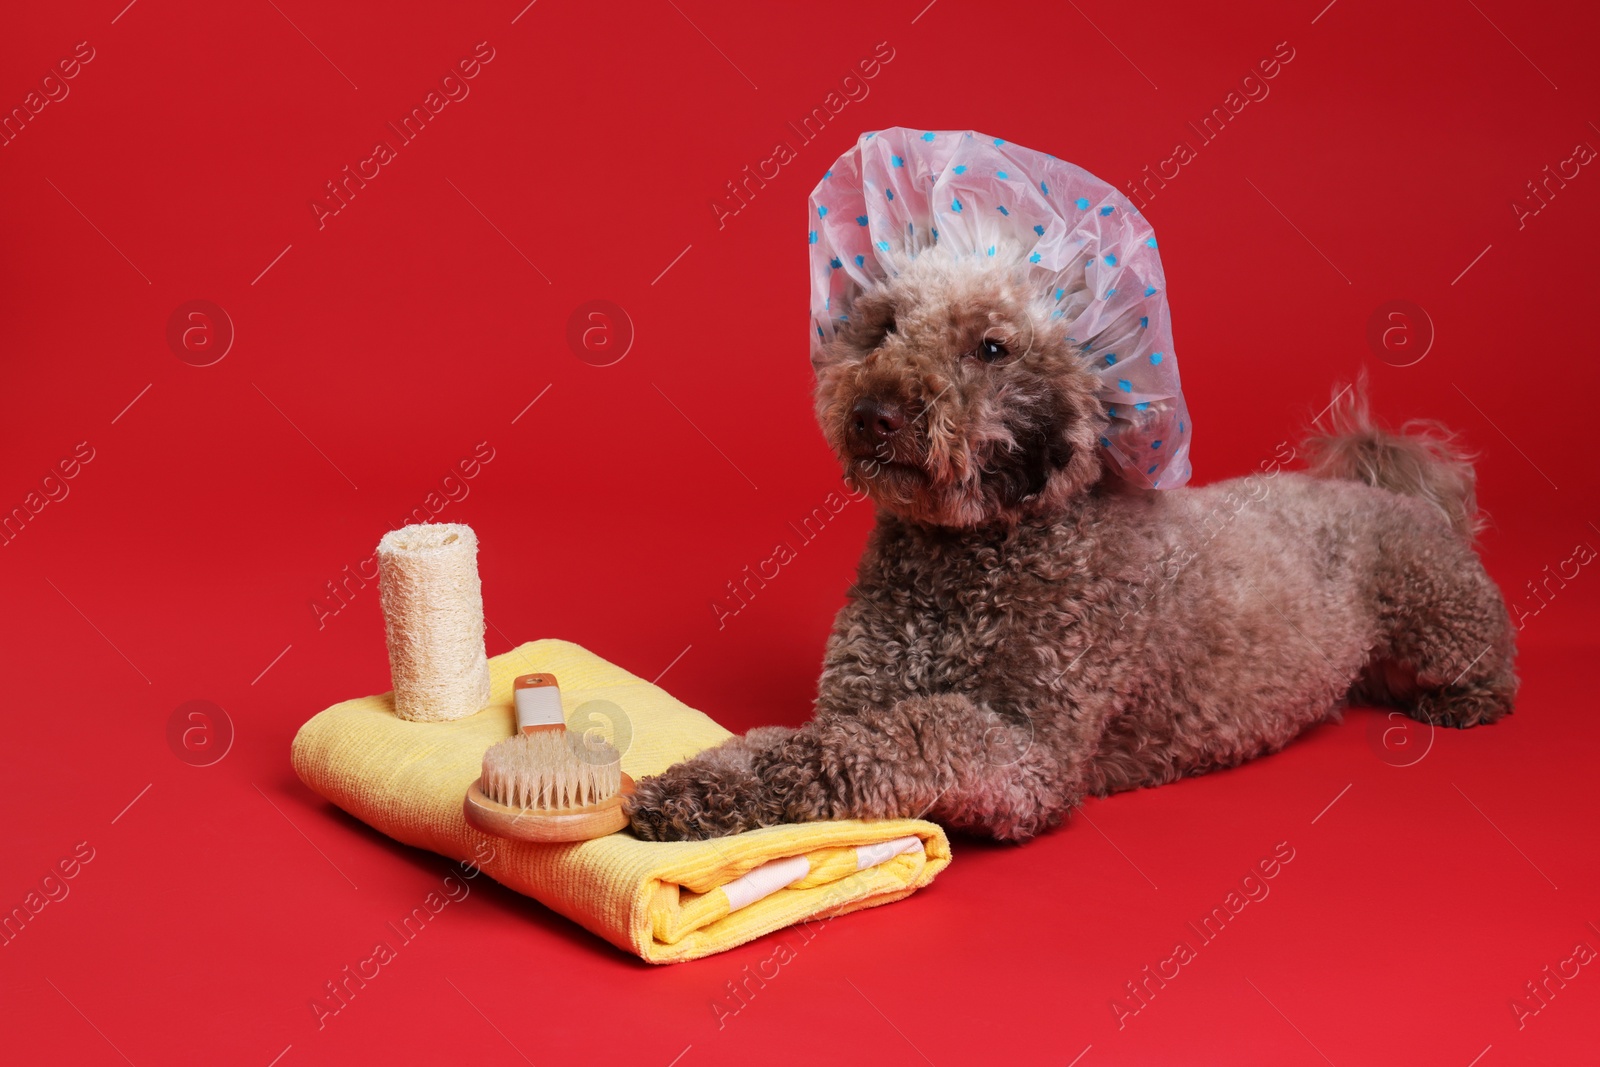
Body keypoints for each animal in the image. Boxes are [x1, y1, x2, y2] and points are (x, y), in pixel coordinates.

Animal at [620, 247, 1510, 844]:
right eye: (884, 327)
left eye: (991, 347)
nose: (874, 413)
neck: (964, 557)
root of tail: (1387, 487)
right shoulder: (852, 695)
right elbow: (783, 740)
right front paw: (700, 784)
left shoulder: (1033, 752)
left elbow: (916, 731)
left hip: (1438, 612)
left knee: (1490, 657)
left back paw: (1468, 699)